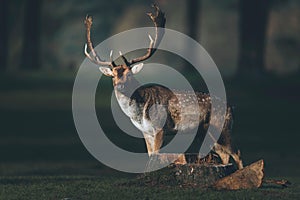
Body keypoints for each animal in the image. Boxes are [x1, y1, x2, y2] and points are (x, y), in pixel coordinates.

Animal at [83, 4, 243, 170]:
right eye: (113, 75)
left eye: (130, 75)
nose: (119, 86)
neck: (138, 114)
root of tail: (232, 107)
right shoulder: (146, 132)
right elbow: (149, 154)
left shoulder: (160, 127)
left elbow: (155, 155)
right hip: (206, 132)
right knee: (224, 154)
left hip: (222, 126)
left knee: (236, 153)